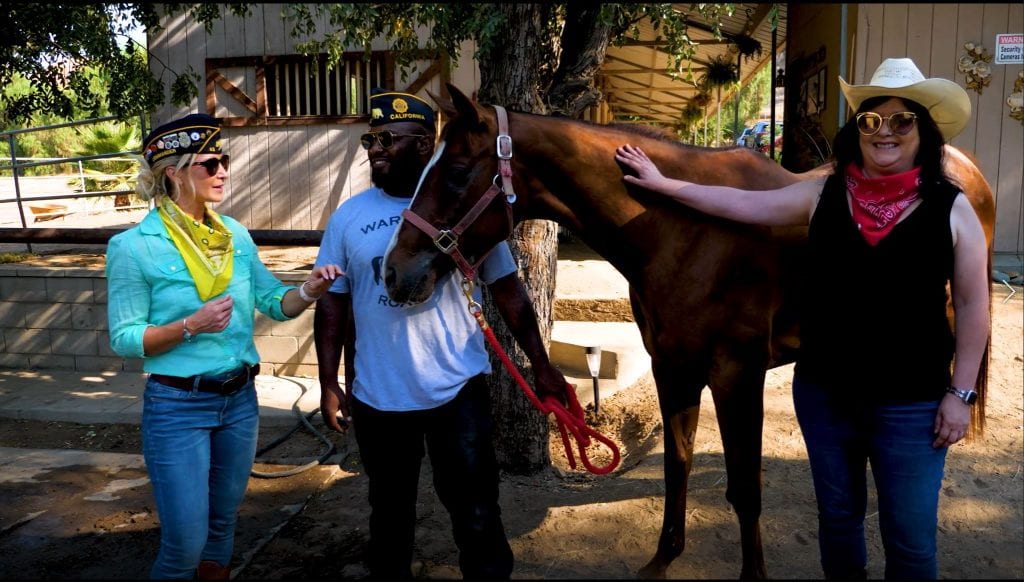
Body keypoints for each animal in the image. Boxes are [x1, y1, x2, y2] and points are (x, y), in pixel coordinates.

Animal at [382, 84, 991, 577]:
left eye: (456, 171)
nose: (393, 272)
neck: (678, 228)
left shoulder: (736, 375)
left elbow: (745, 488)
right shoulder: (672, 367)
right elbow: (679, 463)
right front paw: (663, 558)